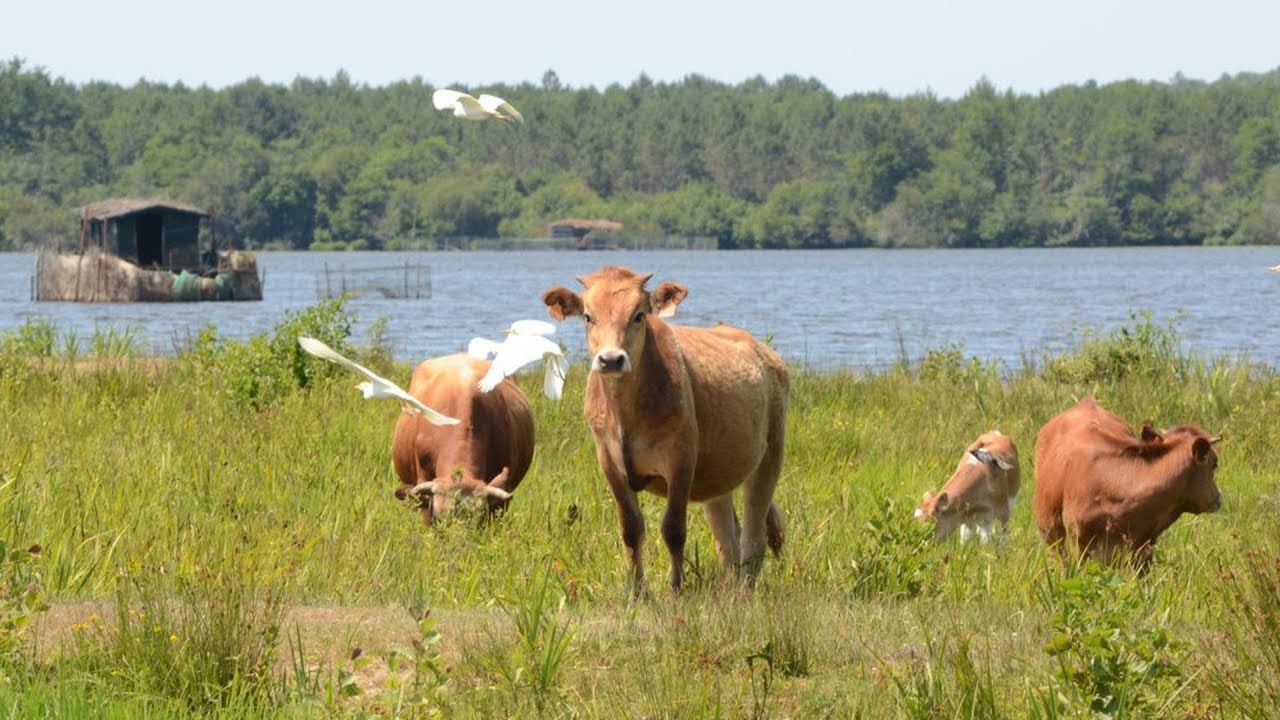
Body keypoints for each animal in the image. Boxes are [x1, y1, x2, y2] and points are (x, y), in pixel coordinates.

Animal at [542, 266, 789, 595]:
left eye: (639, 315)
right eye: (588, 316)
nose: (611, 359)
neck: (625, 414)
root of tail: (763, 350)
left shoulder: (681, 459)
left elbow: (673, 528)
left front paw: (675, 590)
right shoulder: (608, 462)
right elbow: (630, 528)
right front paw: (637, 593)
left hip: (770, 454)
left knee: (753, 536)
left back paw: (743, 593)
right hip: (718, 475)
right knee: (727, 539)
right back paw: (728, 590)